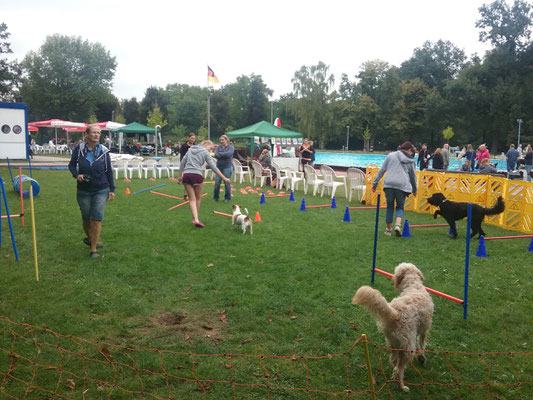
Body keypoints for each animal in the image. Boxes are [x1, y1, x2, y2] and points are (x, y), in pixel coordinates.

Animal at [352, 262, 434, 390]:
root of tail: (395, 313)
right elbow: (421, 344)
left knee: (394, 360)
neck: (413, 285)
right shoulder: (423, 329)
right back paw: (402, 386)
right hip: (407, 347)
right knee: (398, 369)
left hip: (393, 342)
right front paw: (421, 357)